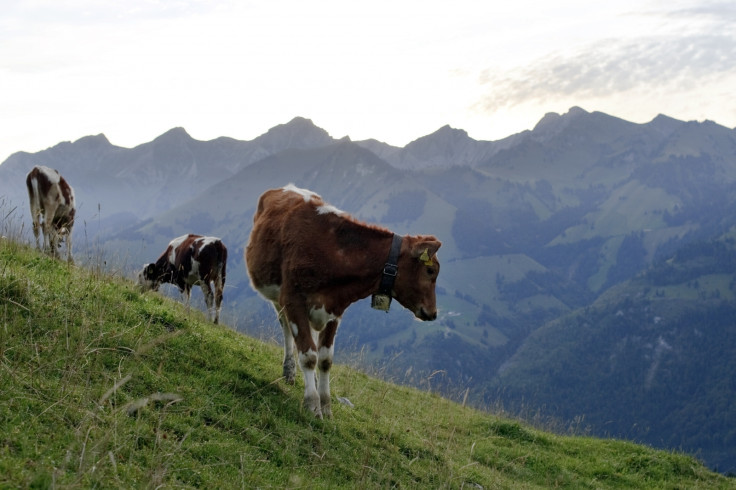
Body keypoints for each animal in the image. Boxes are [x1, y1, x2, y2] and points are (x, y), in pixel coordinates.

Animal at [246, 184, 442, 418]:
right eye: (430, 271)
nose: (433, 313)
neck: (334, 252)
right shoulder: (292, 299)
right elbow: (308, 355)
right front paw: (313, 405)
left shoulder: (335, 309)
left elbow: (324, 359)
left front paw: (326, 406)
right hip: (276, 294)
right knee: (286, 328)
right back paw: (290, 371)